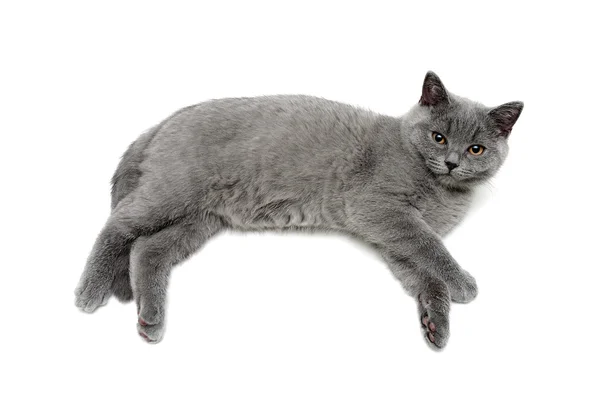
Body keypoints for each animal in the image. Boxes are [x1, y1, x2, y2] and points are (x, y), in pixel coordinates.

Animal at [75, 72, 524, 350]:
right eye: (438, 136)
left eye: (476, 149)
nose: (451, 162)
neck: (443, 191)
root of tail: (166, 120)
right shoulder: (379, 209)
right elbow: (431, 247)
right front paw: (462, 283)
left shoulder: (390, 239)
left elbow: (422, 272)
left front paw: (435, 322)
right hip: (173, 190)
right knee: (117, 225)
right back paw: (90, 290)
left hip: (198, 218)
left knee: (147, 248)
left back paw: (150, 318)